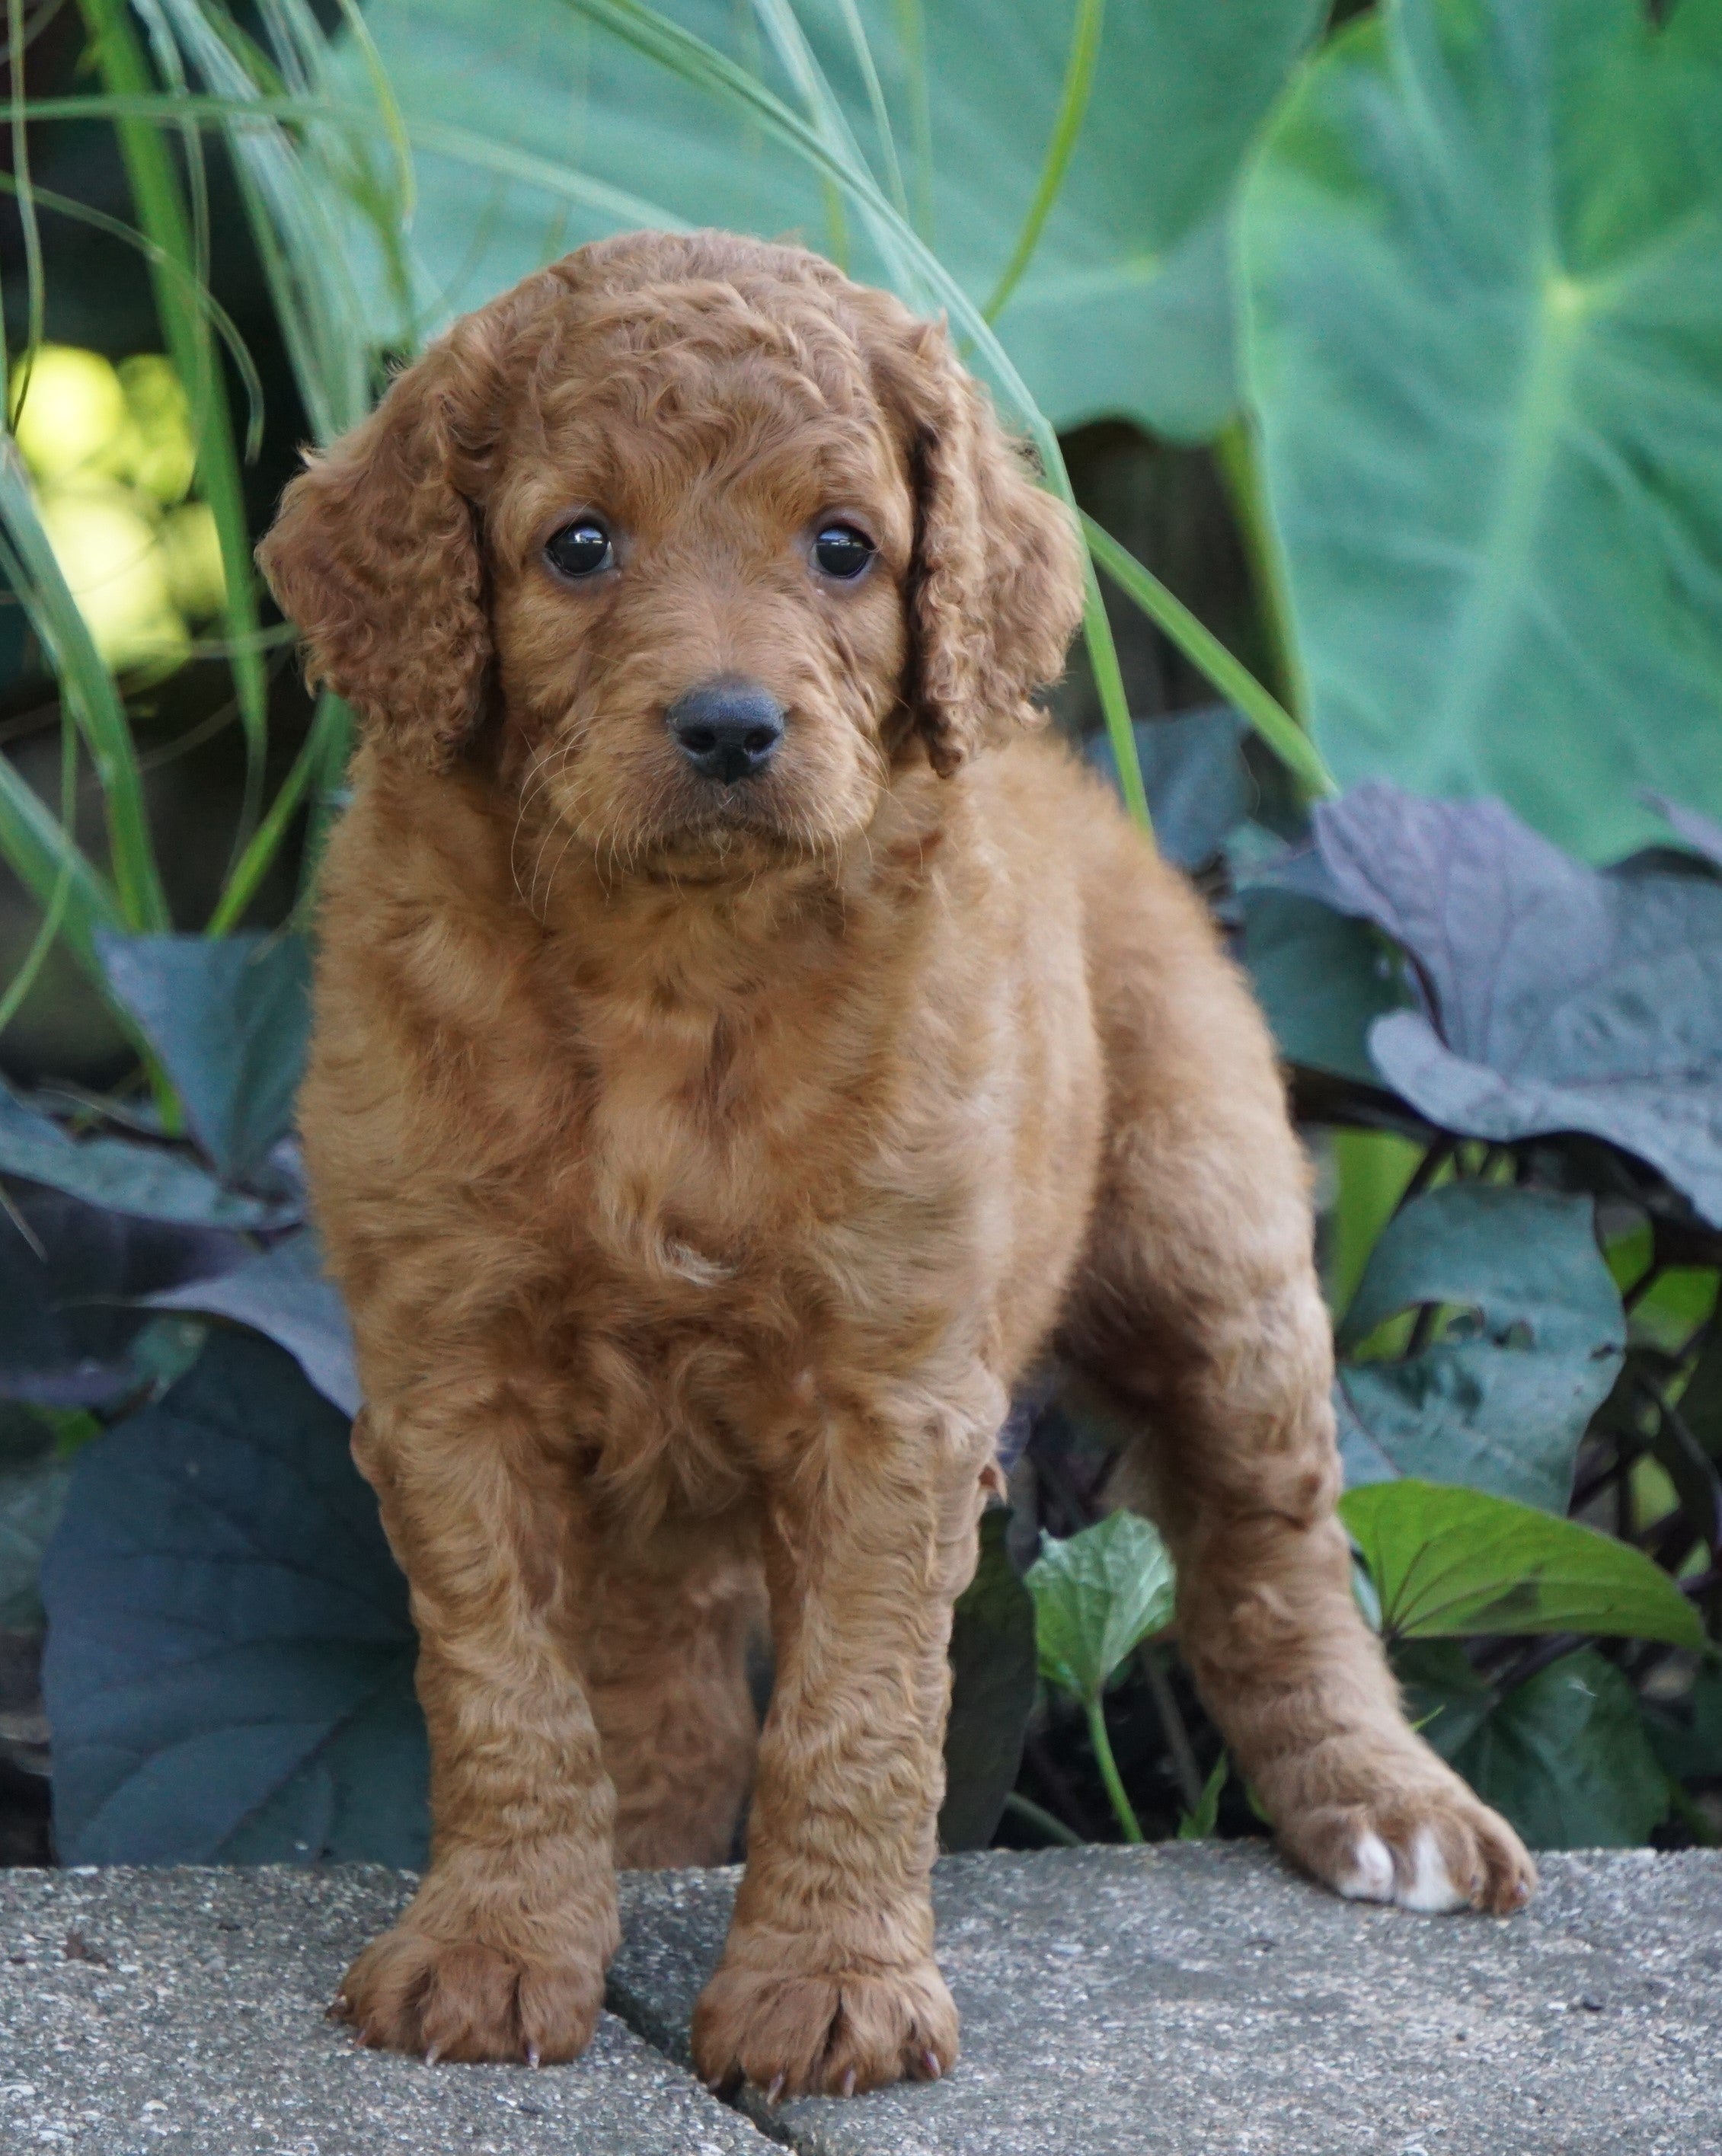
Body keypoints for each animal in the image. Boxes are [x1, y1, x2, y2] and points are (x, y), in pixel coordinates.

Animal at [259, 227, 1534, 2095]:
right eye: (579, 545)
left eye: (842, 546)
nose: (729, 727)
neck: (672, 967)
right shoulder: (450, 1377)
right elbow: (506, 1687)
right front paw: (496, 1945)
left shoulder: (892, 1397)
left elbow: (857, 1710)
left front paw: (831, 1990)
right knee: (666, 1669)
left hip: (1211, 1248)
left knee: (1279, 1551)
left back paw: (1387, 1809)